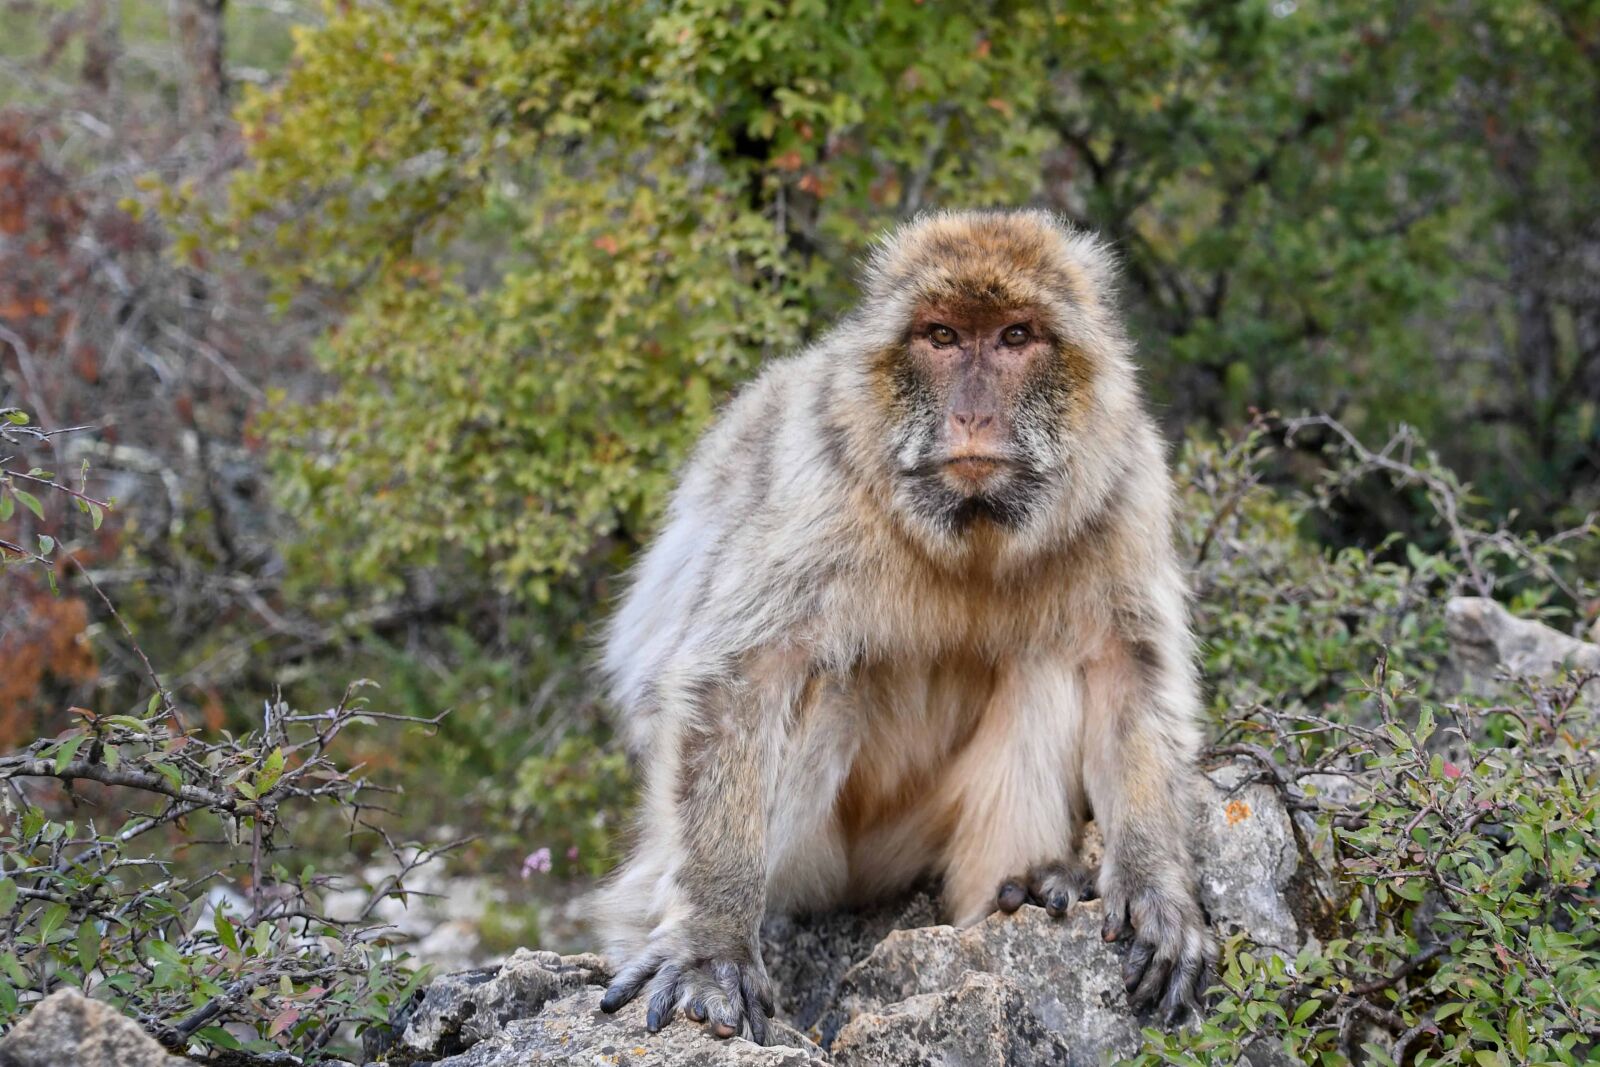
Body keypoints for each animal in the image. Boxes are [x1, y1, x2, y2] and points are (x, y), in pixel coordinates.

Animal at [593, 209, 1214, 1045]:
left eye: (1016, 335)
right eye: (942, 336)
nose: (973, 413)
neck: (971, 529)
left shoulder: (1124, 479)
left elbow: (1127, 668)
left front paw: (1154, 883)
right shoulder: (824, 474)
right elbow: (741, 676)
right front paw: (711, 940)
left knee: (1047, 660)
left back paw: (1022, 887)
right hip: (813, 863)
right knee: (826, 681)